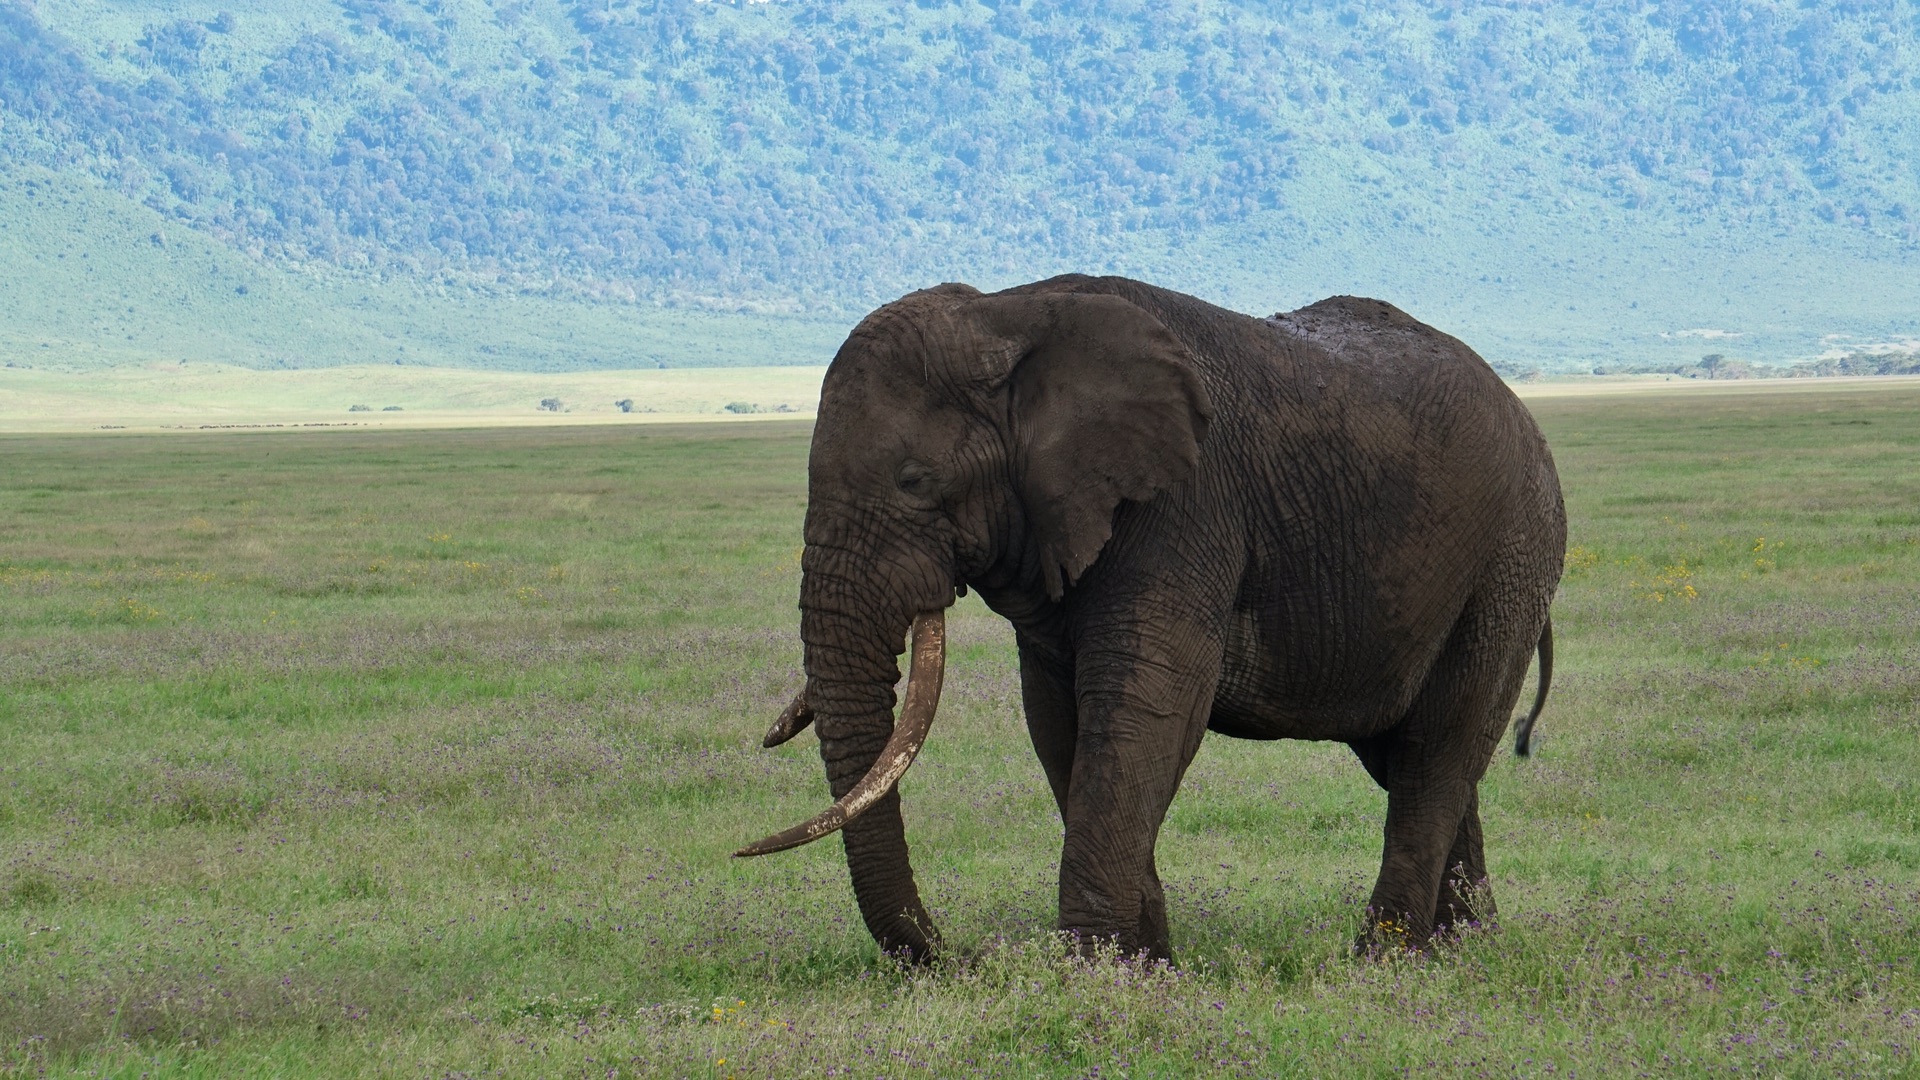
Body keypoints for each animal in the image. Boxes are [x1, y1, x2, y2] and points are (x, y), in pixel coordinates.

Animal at [733, 270, 1559, 957]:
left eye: (914, 482)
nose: (958, 961)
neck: (1005, 313)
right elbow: (1060, 722)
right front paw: (1144, 968)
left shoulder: (1184, 507)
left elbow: (1147, 710)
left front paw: (1092, 975)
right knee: (1415, 754)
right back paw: (1464, 950)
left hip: (1508, 562)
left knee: (1437, 749)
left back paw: (1384, 961)